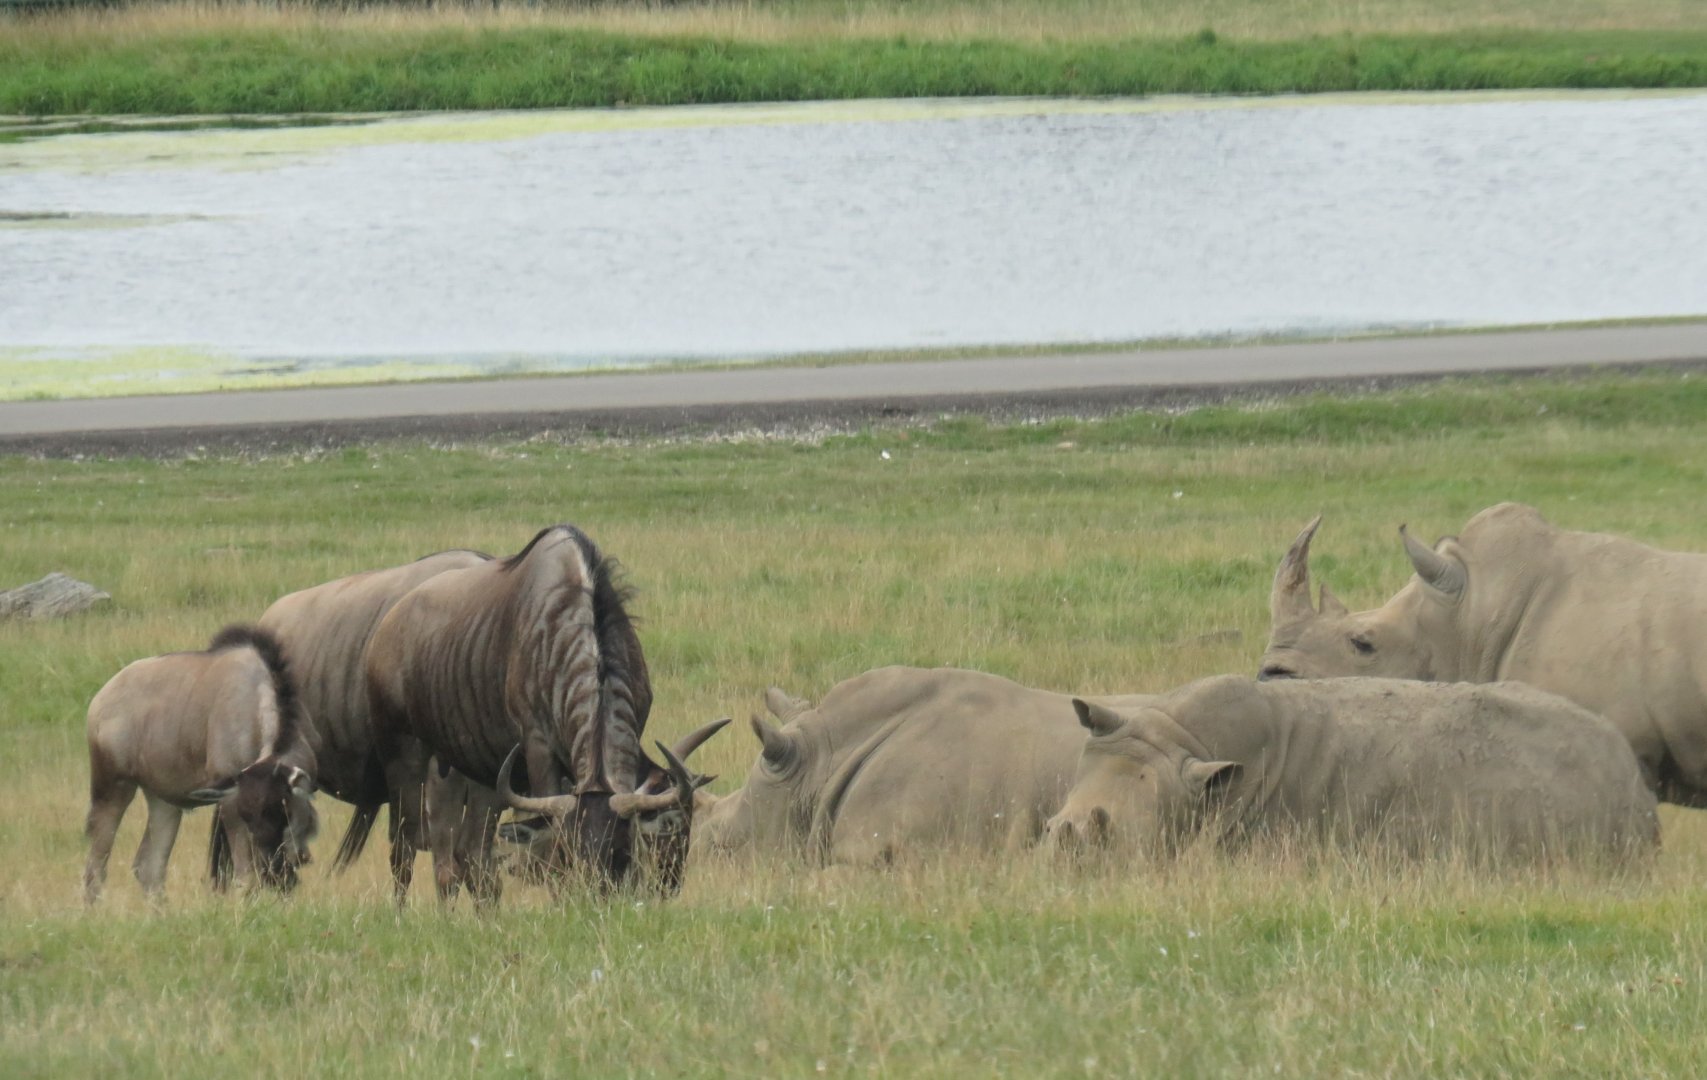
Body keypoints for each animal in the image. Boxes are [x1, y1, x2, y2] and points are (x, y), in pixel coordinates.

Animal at [83, 625, 319, 903]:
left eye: (284, 810)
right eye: (248, 815)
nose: (275, 873)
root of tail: (100, 700)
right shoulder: (230, 803)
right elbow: (244, 873)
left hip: (163, 802)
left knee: (149, 867)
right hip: (113, 789)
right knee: (96, 866)